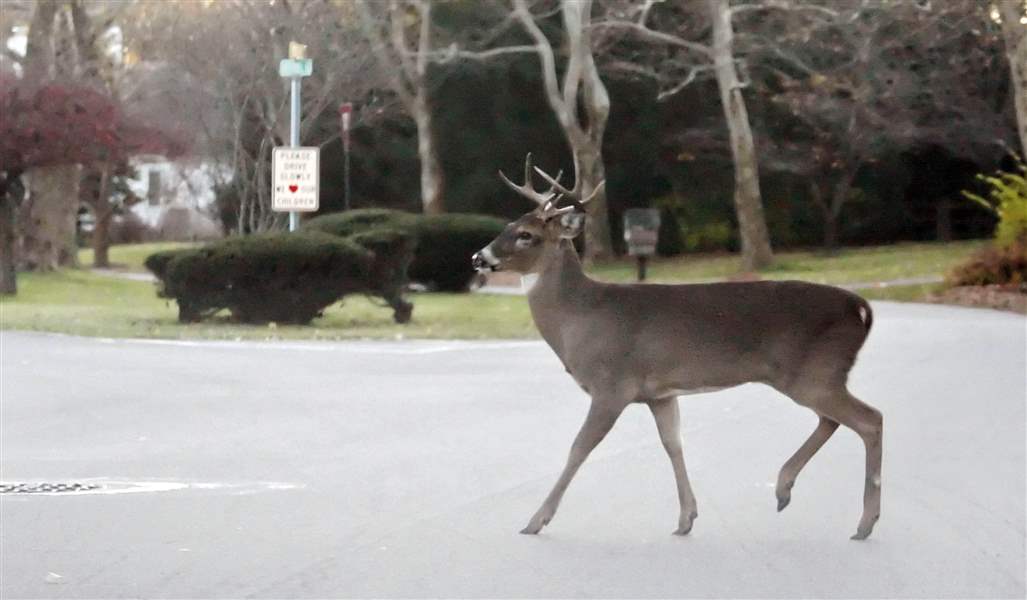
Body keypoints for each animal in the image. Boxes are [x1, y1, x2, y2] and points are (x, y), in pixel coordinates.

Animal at [472, 154, 883, 540]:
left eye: (527, 235)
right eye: (506, 226)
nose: (478, 257)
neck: (580, 318)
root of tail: (859, 307)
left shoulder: (613, 384)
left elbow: (579, 447)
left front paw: (535, 521)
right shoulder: (660, 393)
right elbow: (673, 443)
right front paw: (686, 518)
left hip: (814, 371)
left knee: (870, 419)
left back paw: (864, 523)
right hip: (816, 375)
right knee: (833, 419)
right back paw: (785, 489)